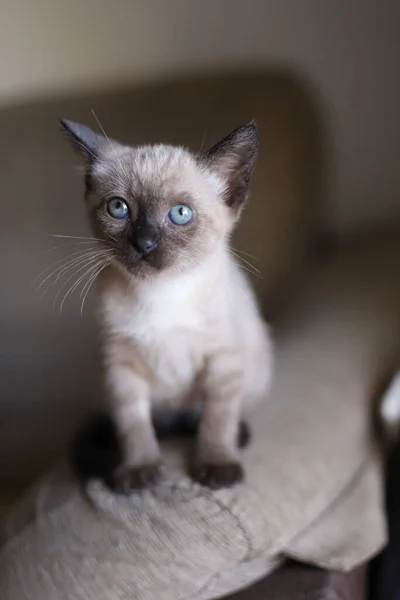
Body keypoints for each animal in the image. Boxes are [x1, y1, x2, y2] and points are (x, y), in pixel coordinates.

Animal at [61, 118, 274, 492]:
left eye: (180, 213)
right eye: (118, 208)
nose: (143, 242)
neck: (161, 295)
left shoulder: (222, 360)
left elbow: (217, 419)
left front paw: (216, 465)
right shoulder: (120, 368)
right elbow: (133, 425)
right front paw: (139, 471)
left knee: (207, 416)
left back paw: (233, 434)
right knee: (158, 424)